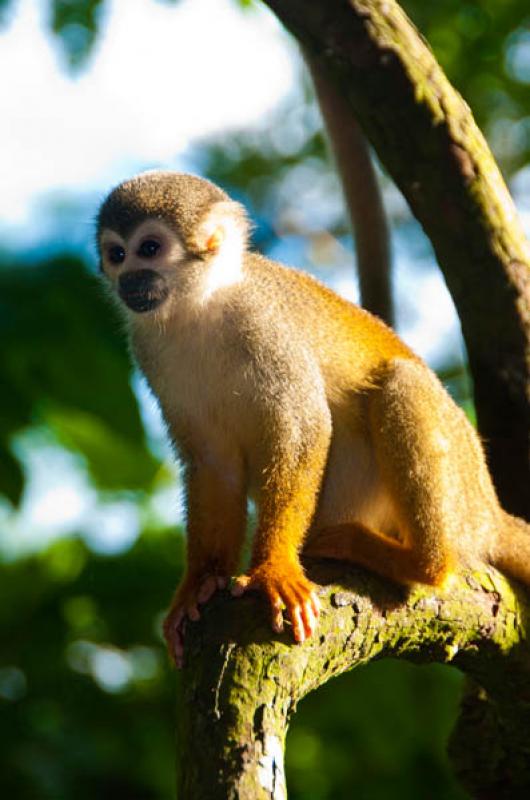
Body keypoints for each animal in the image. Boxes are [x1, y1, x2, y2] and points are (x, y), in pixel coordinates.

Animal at [96, 172, 528, 664]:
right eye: (116, 254)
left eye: (149, 248)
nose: (128, 279)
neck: (200, 309)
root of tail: (489, 508)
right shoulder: (149, 350)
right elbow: (213, 462)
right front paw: (200, 583)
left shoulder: (265, 325)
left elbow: (304, 428)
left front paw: (273, 568)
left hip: (460, 489)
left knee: (400, 384)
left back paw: (422, 563)